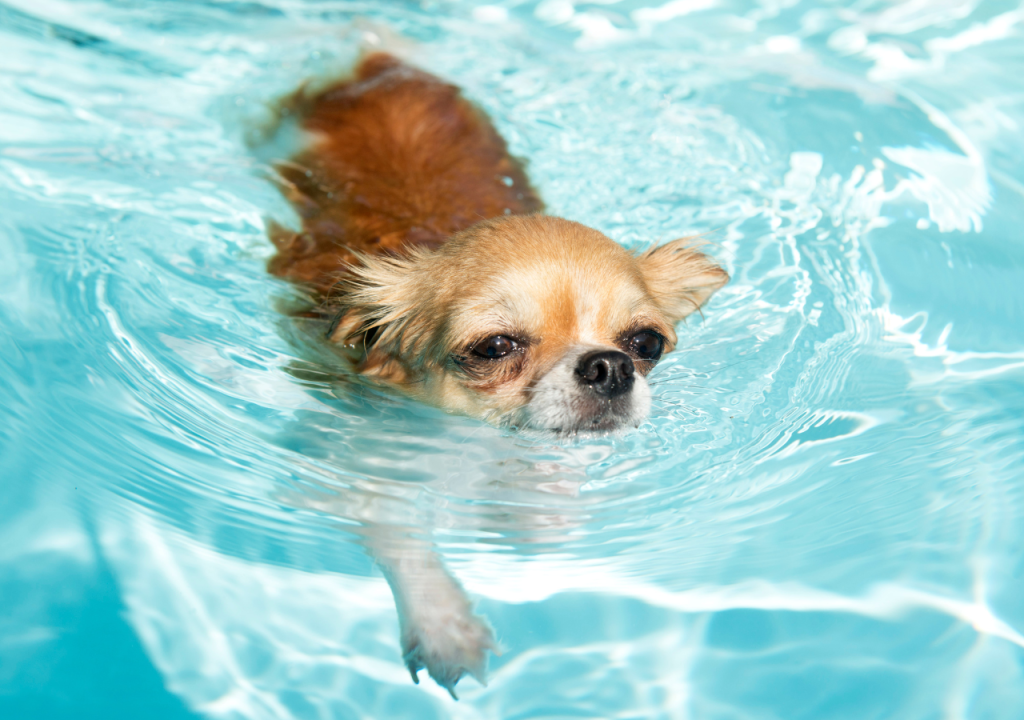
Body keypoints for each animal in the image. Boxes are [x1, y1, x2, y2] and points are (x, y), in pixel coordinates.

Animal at [266, 52, 729, 696]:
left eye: (645, 343)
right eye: (495, 347)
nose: (609, 366)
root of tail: (381, 63)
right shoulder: (357, 463)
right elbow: (399, 530)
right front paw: (443, 624)